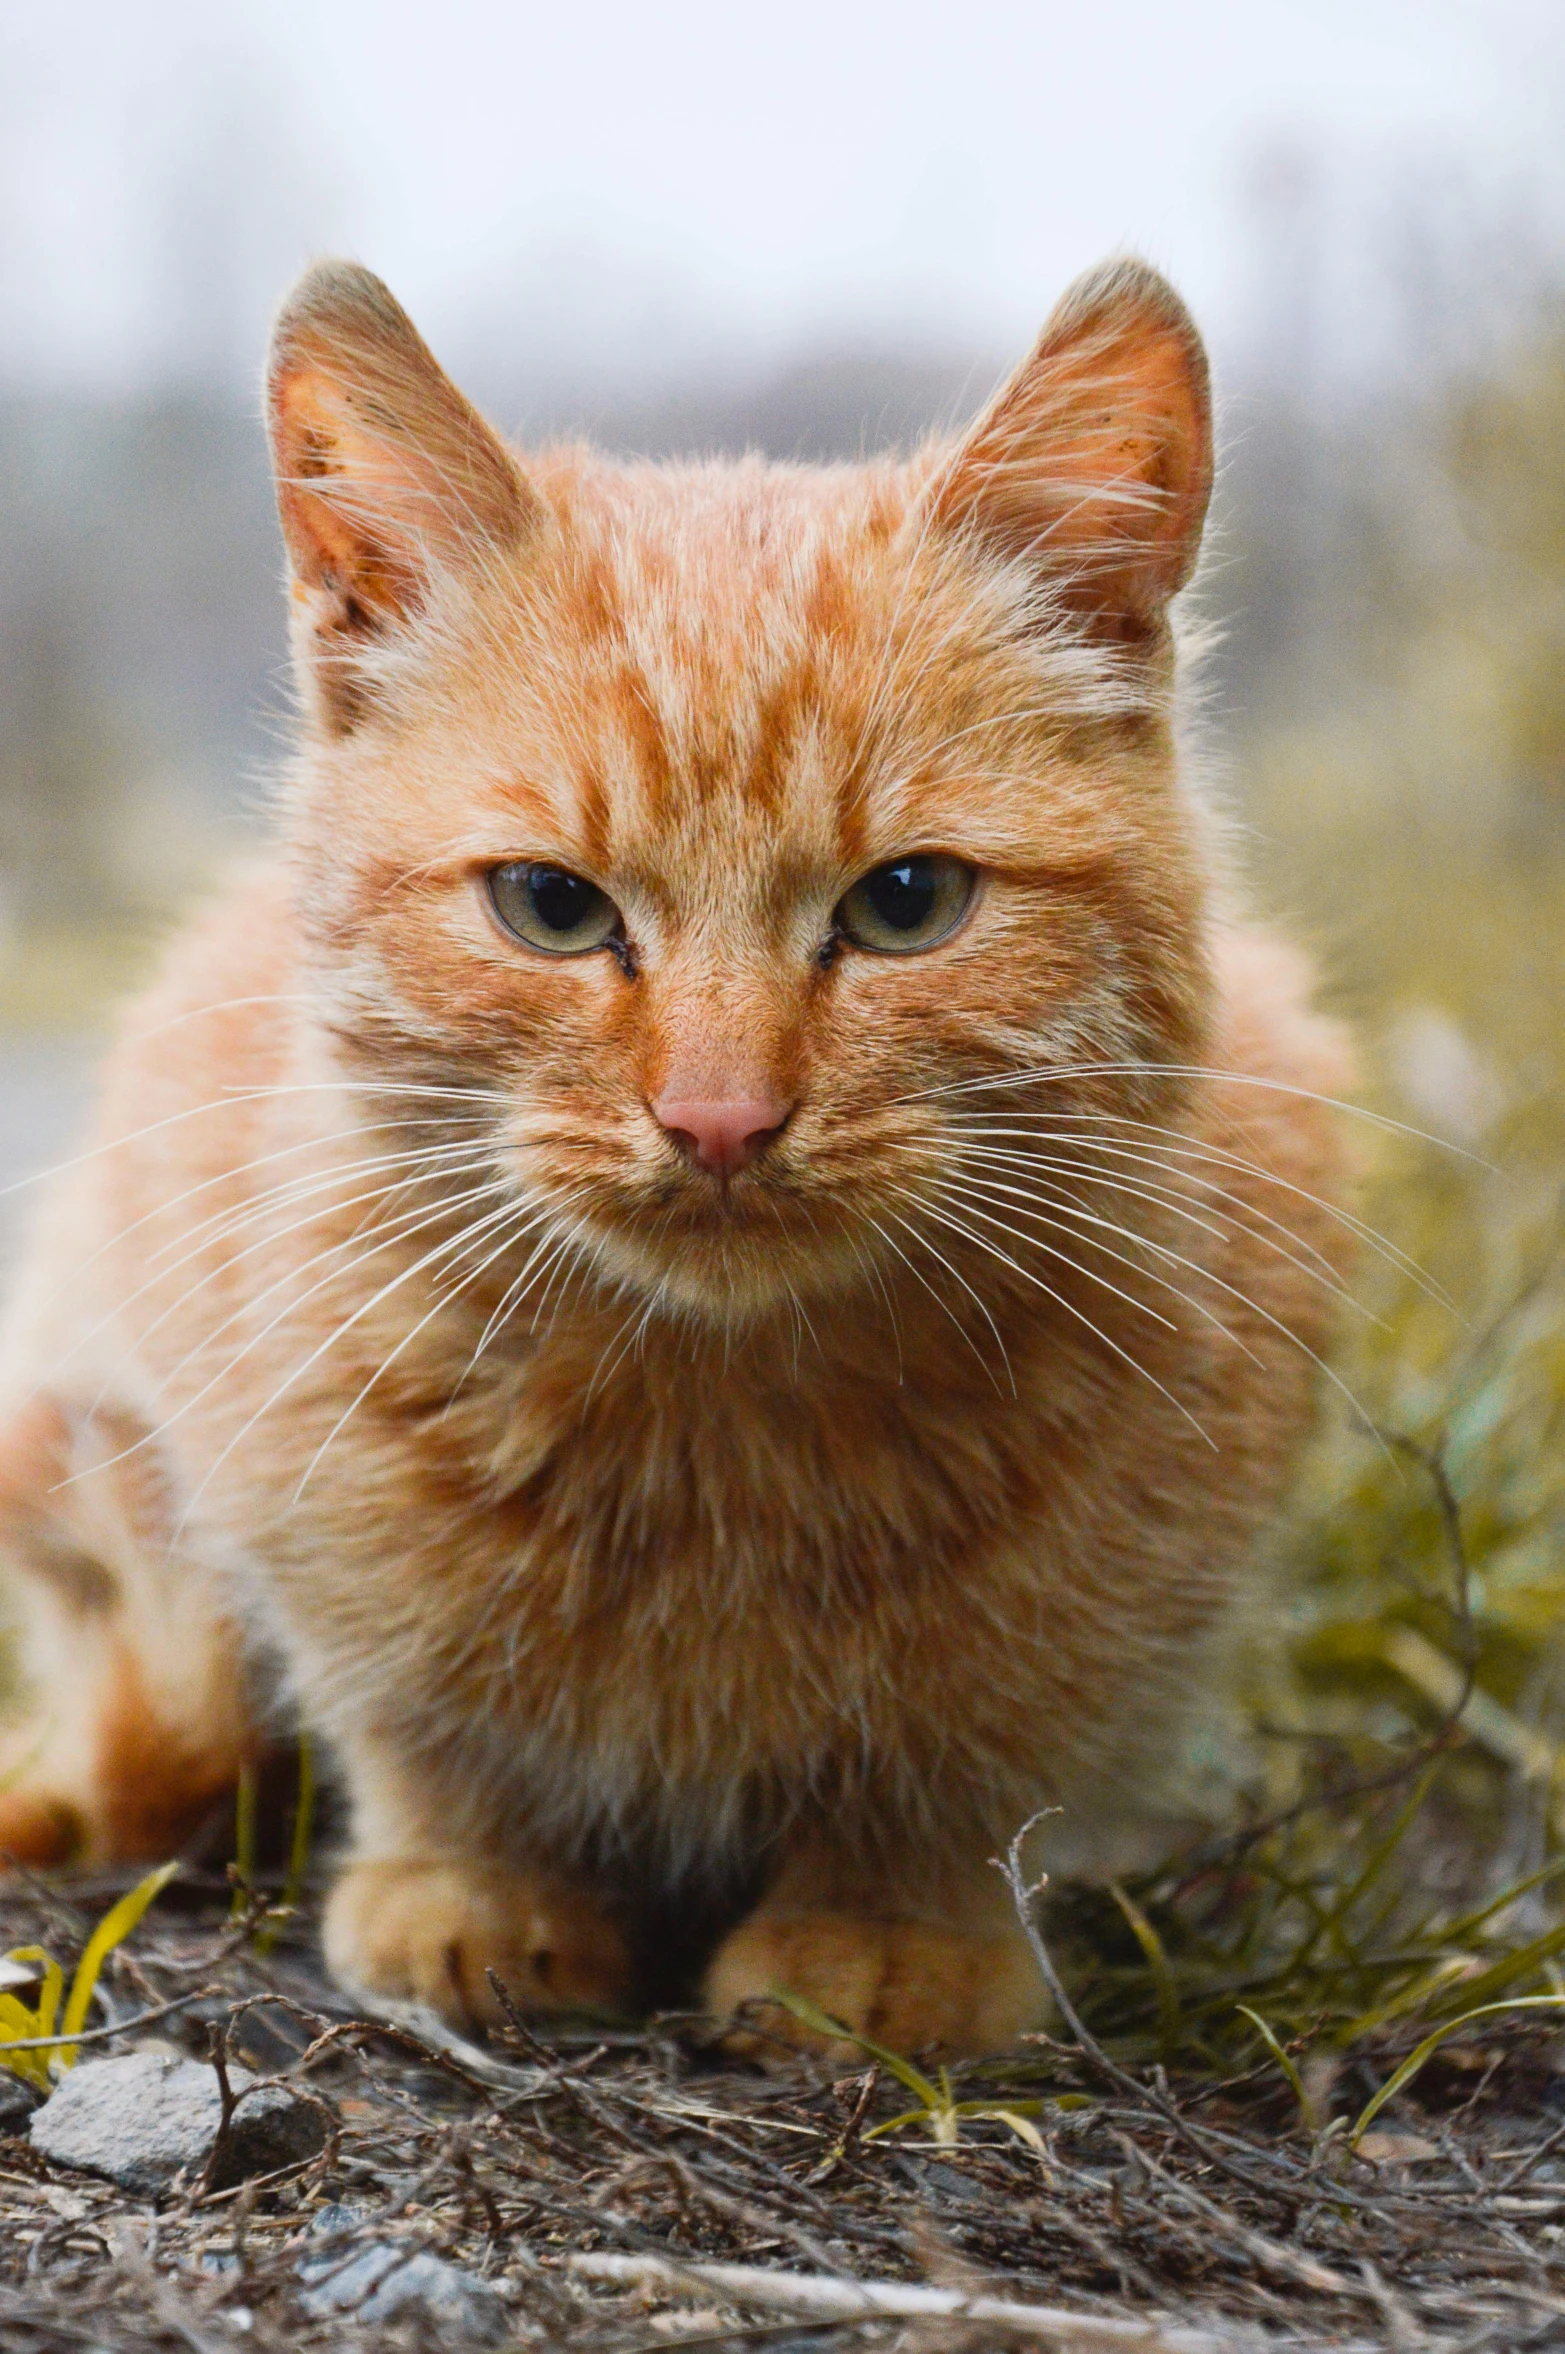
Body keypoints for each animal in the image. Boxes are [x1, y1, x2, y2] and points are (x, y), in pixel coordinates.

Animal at [0, 257, 1346, 2052]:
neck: (723, 1431)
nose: (719, 1116)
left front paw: (884, 1930)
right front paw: (475, 1886)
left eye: (907, 903)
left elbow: (968, 1755)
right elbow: (419, 1722)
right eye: (550, 905)